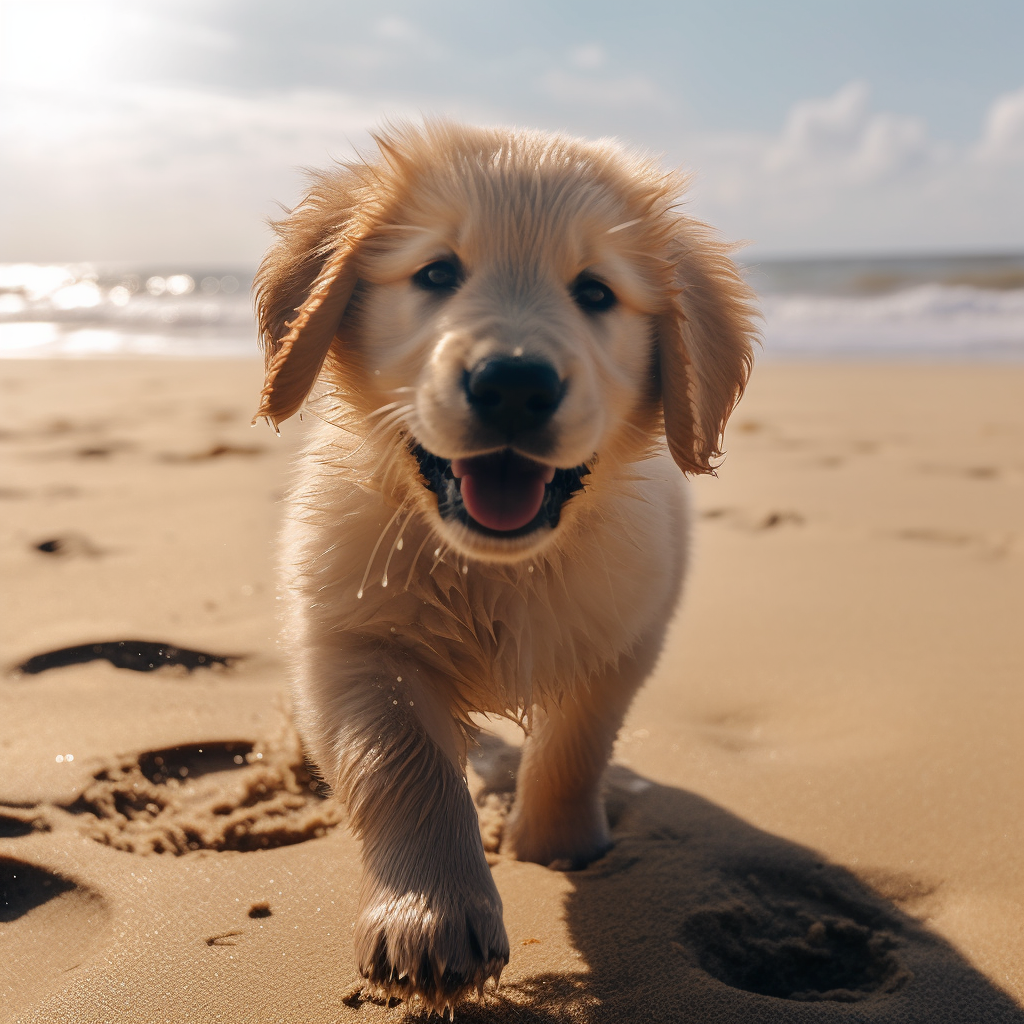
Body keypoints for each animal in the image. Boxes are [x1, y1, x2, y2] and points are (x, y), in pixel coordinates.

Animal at [251, 121, 757, 1007]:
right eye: (436, 273)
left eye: (596, 292)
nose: (515, 383)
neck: (497, 565)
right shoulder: (352, 639)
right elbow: (403, 765)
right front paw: (430, 920)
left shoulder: (626, 631)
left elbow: (577, 742)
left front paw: (554, 843)